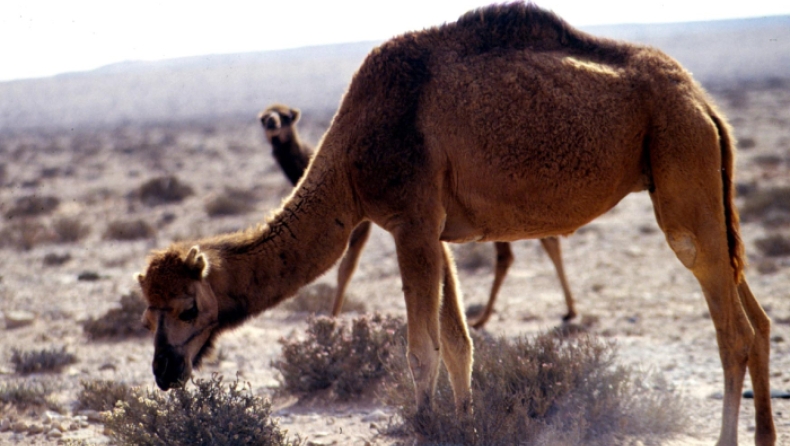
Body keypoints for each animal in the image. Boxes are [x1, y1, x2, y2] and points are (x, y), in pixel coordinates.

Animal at [260, 104, 576, 328]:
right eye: (264, 117)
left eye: (286, 116)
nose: (272, 123)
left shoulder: (362, 222)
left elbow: (346, 268)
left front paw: (332, 321)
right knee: (534, 244)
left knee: (521, 250)